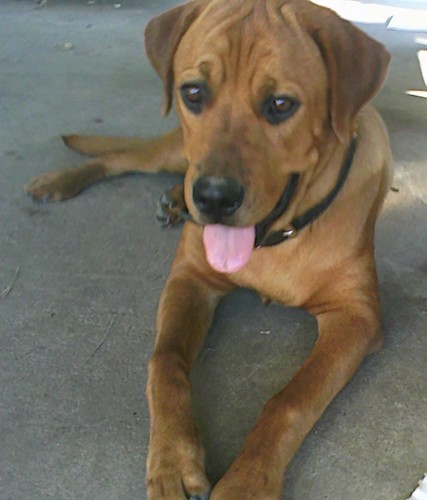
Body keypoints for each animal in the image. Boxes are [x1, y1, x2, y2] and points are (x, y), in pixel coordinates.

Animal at [26, 0, 394, 498]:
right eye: (194, 92)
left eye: (281, 104)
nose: (213, 198)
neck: (276, 241)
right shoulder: (191, 278)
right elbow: (165, 361)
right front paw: (172, 459)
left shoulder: (356, 315)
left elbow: (290, 399)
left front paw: (247, 480)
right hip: (175, 153)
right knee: (122, 158)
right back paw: (63, 182)